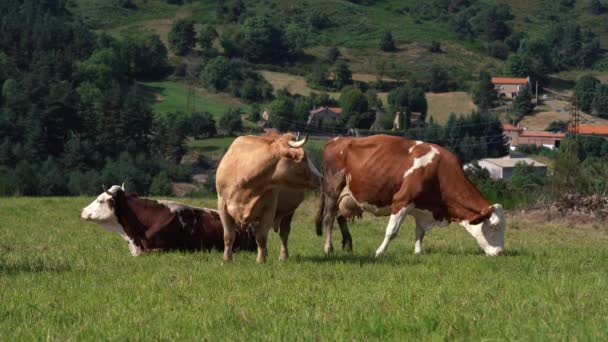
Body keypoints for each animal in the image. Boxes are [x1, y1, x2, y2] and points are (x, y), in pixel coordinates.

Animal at [218, 132, 324, 264]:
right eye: (303, 158)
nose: (320, 177)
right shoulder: (222, 205)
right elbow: (228, 236)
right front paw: (227, 259)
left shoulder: (269, 209)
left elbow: (261, 237)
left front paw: (261, 260)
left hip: (289, 212)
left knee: (284, 233)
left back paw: (283, 256)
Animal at [316, 135, 506, 258]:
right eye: (495, 227)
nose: (500, 252)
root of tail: (336, 140)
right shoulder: (402, 201)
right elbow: (391, 231)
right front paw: (379, 252)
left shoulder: (423, 209)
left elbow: (420, 233)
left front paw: (417, 252)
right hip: (332, 191)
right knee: (329, 219)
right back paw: (328, 248)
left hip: (345, 197)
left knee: (340, 217)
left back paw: (348, 245)